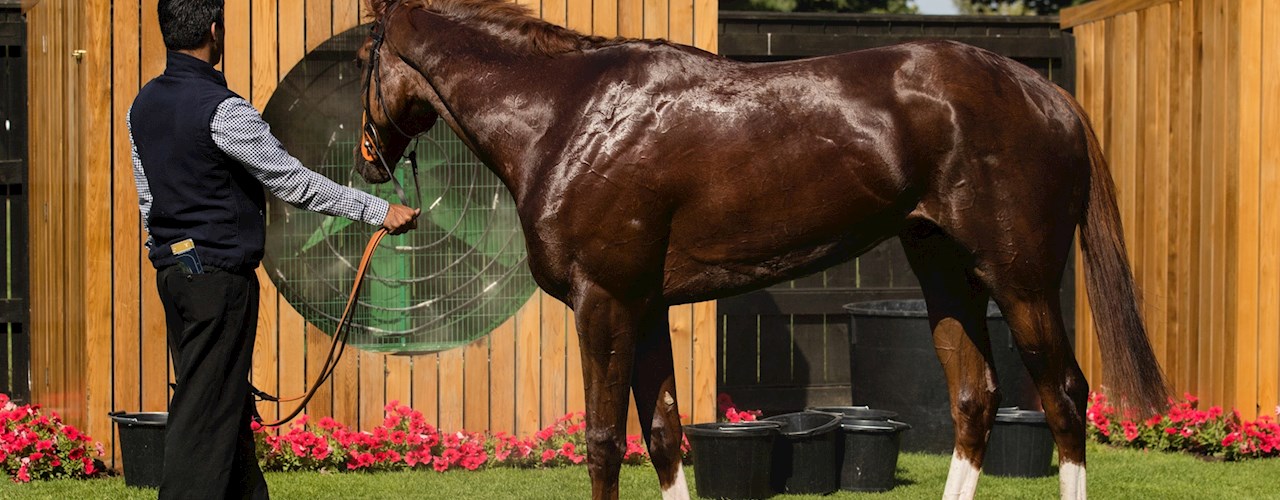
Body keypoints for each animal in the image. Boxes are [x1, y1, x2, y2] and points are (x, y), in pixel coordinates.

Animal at [353, 1, 1168, 498]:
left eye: (360, 60)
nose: (368, 162)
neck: (567, 115)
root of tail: (1047, 92)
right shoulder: (645, 307)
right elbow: (664, 435)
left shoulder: (604, 303)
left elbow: (604, 440)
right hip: (944, 271)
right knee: (976, 399)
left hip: (1021, 280)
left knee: (1064, 399)